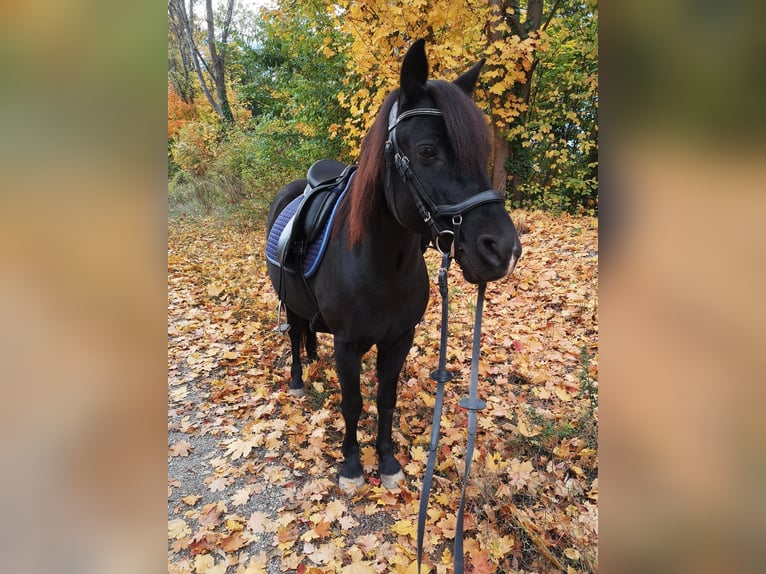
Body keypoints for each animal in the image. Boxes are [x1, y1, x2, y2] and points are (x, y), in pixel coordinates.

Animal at [268, 40, 524, 492]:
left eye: (482, 151)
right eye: (427, 152)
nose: (503, 249)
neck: (381, 269)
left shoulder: (399, 339)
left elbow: (386, 399)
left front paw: (386, 461)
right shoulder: (348, 344)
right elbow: (353, 403)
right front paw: (352, 465)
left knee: (307, 334)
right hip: (291, 302)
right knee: (295, 334)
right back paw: (298, 379)